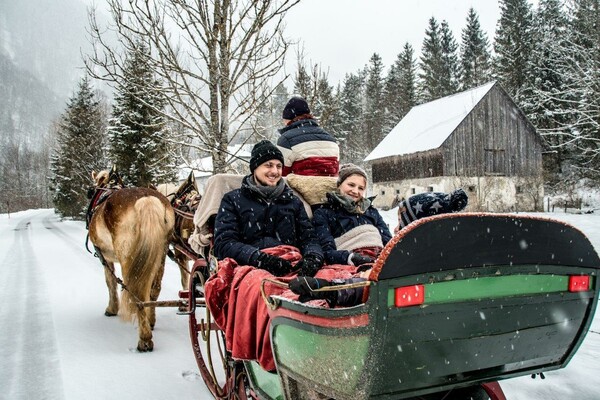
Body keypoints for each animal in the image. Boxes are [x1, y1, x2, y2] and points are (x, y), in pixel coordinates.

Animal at [86, 167, 176, 352]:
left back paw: (144, 339)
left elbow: (110, 282)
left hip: (127, 254)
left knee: (137, 290)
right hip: (161, 252)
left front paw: (111, 308)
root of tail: (147, 200)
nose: (90, 192)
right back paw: (150, 321)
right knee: (153, 289)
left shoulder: (104, 257)